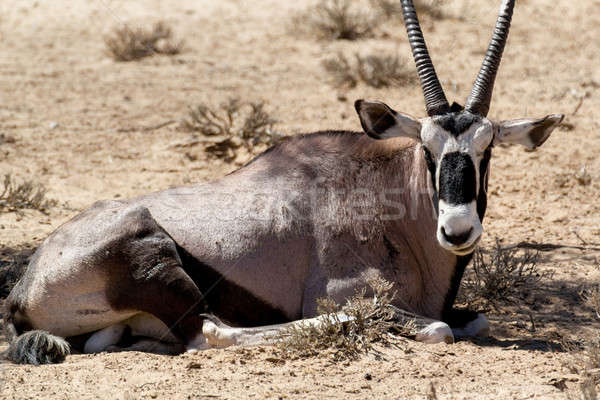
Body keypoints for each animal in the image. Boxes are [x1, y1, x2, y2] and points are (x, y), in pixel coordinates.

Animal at [3, 0, 564, 364]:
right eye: (427, 148)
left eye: (487, 150)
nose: (457, 230)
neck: (389, 200)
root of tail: (22, 292)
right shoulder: (356, 294)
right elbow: (441, 328)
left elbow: (477, 319)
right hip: (157, 258)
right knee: (212, 334)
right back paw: (338, 325)